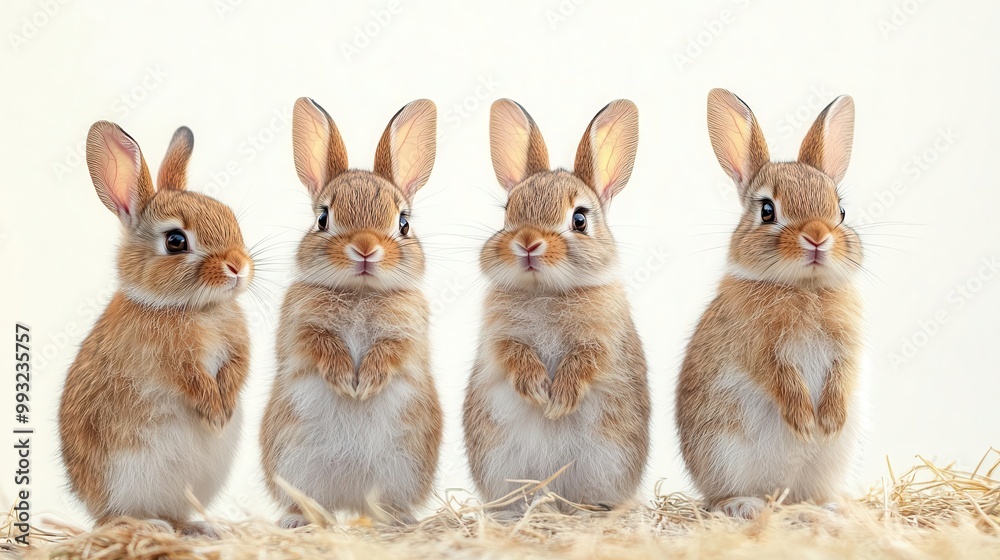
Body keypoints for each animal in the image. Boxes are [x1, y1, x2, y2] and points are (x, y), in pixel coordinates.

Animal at [58, 121, 254, 535]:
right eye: (176, 241)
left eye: (230, 216)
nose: (238, 266)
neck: (193, 307)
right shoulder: (172, 362)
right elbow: (193, 380)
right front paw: (214, 414)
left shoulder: (238, 352)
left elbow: (234, 373)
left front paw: (224, 412)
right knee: (114, 518)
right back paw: (149, 526)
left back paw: (198, 529)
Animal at [259, 98, 443, 528]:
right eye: (322, 218)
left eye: (403, 223)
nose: (364, 248)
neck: (360, 293)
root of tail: (350, 499)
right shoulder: (301, 328)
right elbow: (320, 345)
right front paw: (347, 380)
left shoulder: (408, 336)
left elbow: (391, 351)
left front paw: (366, 382)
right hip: (294, 462)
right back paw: (299, 521)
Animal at [462, 99, 651, 514]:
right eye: (507, 211)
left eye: (579, 219)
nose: (529, 242)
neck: (545, 291)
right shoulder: (499, 338)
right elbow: (513, 354)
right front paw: (537, 390)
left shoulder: (603, 340)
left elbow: (585, 361)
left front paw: (558, 400)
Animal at [675, 88, 866, 519]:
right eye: (767, 211)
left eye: (841, 210)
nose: (817, 236)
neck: (803, 287)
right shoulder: (760, 350)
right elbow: (781, 380)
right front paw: (804, 423)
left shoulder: (846, 350)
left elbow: (841, 378)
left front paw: (828, 422)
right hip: (724, 454)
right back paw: (745, 506)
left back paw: (827, 507)